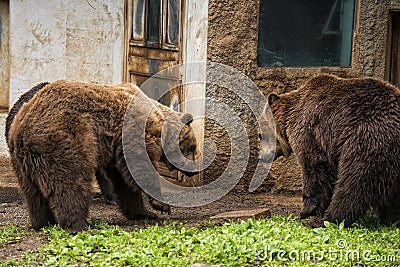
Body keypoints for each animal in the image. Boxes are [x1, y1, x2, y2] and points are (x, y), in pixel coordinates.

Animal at [7, 80, 198, 233]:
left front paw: (144, 212)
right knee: (72, 184)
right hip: (64, 141)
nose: (194, 171)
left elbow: (124, 184)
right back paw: (80, 224)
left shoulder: (116, 152)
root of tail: (23, 128)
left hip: (22, 162)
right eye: (193, 147)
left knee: (33, 194)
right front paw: (162, 206)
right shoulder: (131, 135)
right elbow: (141, 171)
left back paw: (43, 222)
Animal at [262, 74, 400, 228]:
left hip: (366, 140)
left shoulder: (310, 133)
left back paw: (326, 220)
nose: (262, 157)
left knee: (353, 183)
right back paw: (391, 220)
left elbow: (314, 168)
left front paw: (307, 210)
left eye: (260, 135)